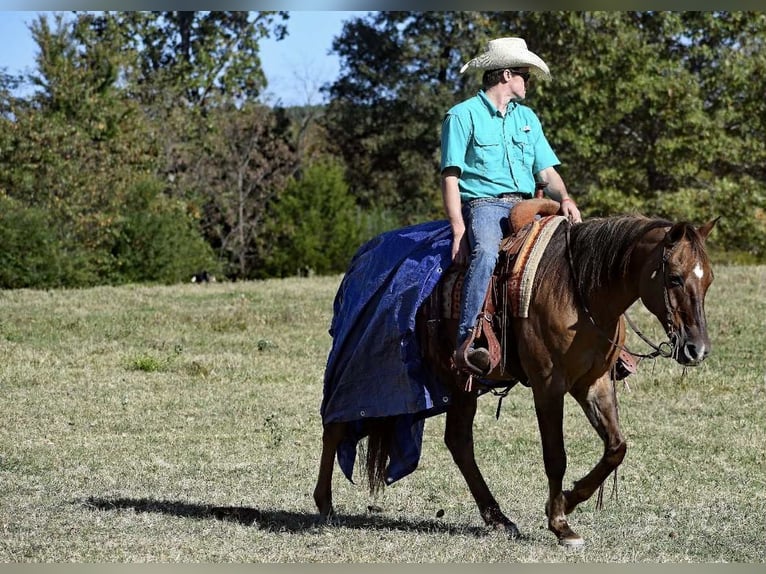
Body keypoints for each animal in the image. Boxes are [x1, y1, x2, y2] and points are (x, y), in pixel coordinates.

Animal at [313, 210, 717, 547]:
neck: (578, 291)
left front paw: (568, 500)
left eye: (709, 280)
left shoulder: (594, 382)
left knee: (459, 442)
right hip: (361, 372)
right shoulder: (548, 385)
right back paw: (324, 504)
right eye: (675, 278)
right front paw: (560, 523)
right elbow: (555, 455)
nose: (696, 348)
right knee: (334, 425)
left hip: (461, 384)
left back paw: (497, 518)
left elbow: (616, 448)